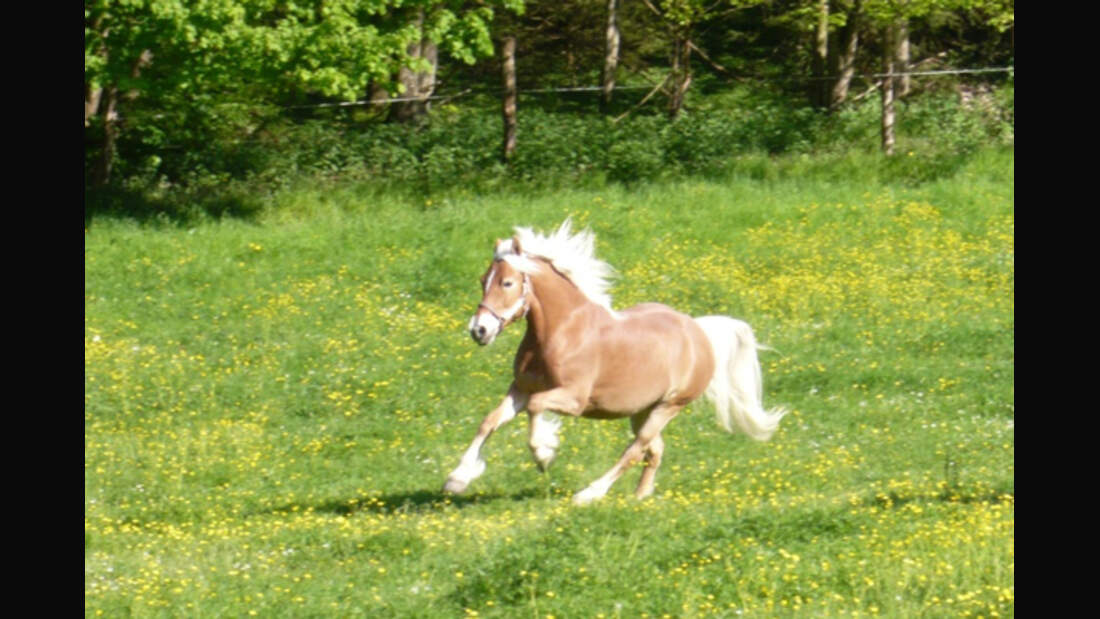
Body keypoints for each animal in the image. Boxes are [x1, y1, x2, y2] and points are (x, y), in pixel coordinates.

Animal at [442, 219, 787, 505]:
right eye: (483, 280)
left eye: (507, 283)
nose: (479, 330)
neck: (562, 332)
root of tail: (699, 331)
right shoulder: (520, 389)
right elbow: (489, 421)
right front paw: (457, 479)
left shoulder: (573, 399)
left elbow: (537, 408)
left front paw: (544, 454)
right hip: (643, 409)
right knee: (655, 450)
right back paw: (641, 496)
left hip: (669, 406)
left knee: (634, 450)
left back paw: (589, 494)